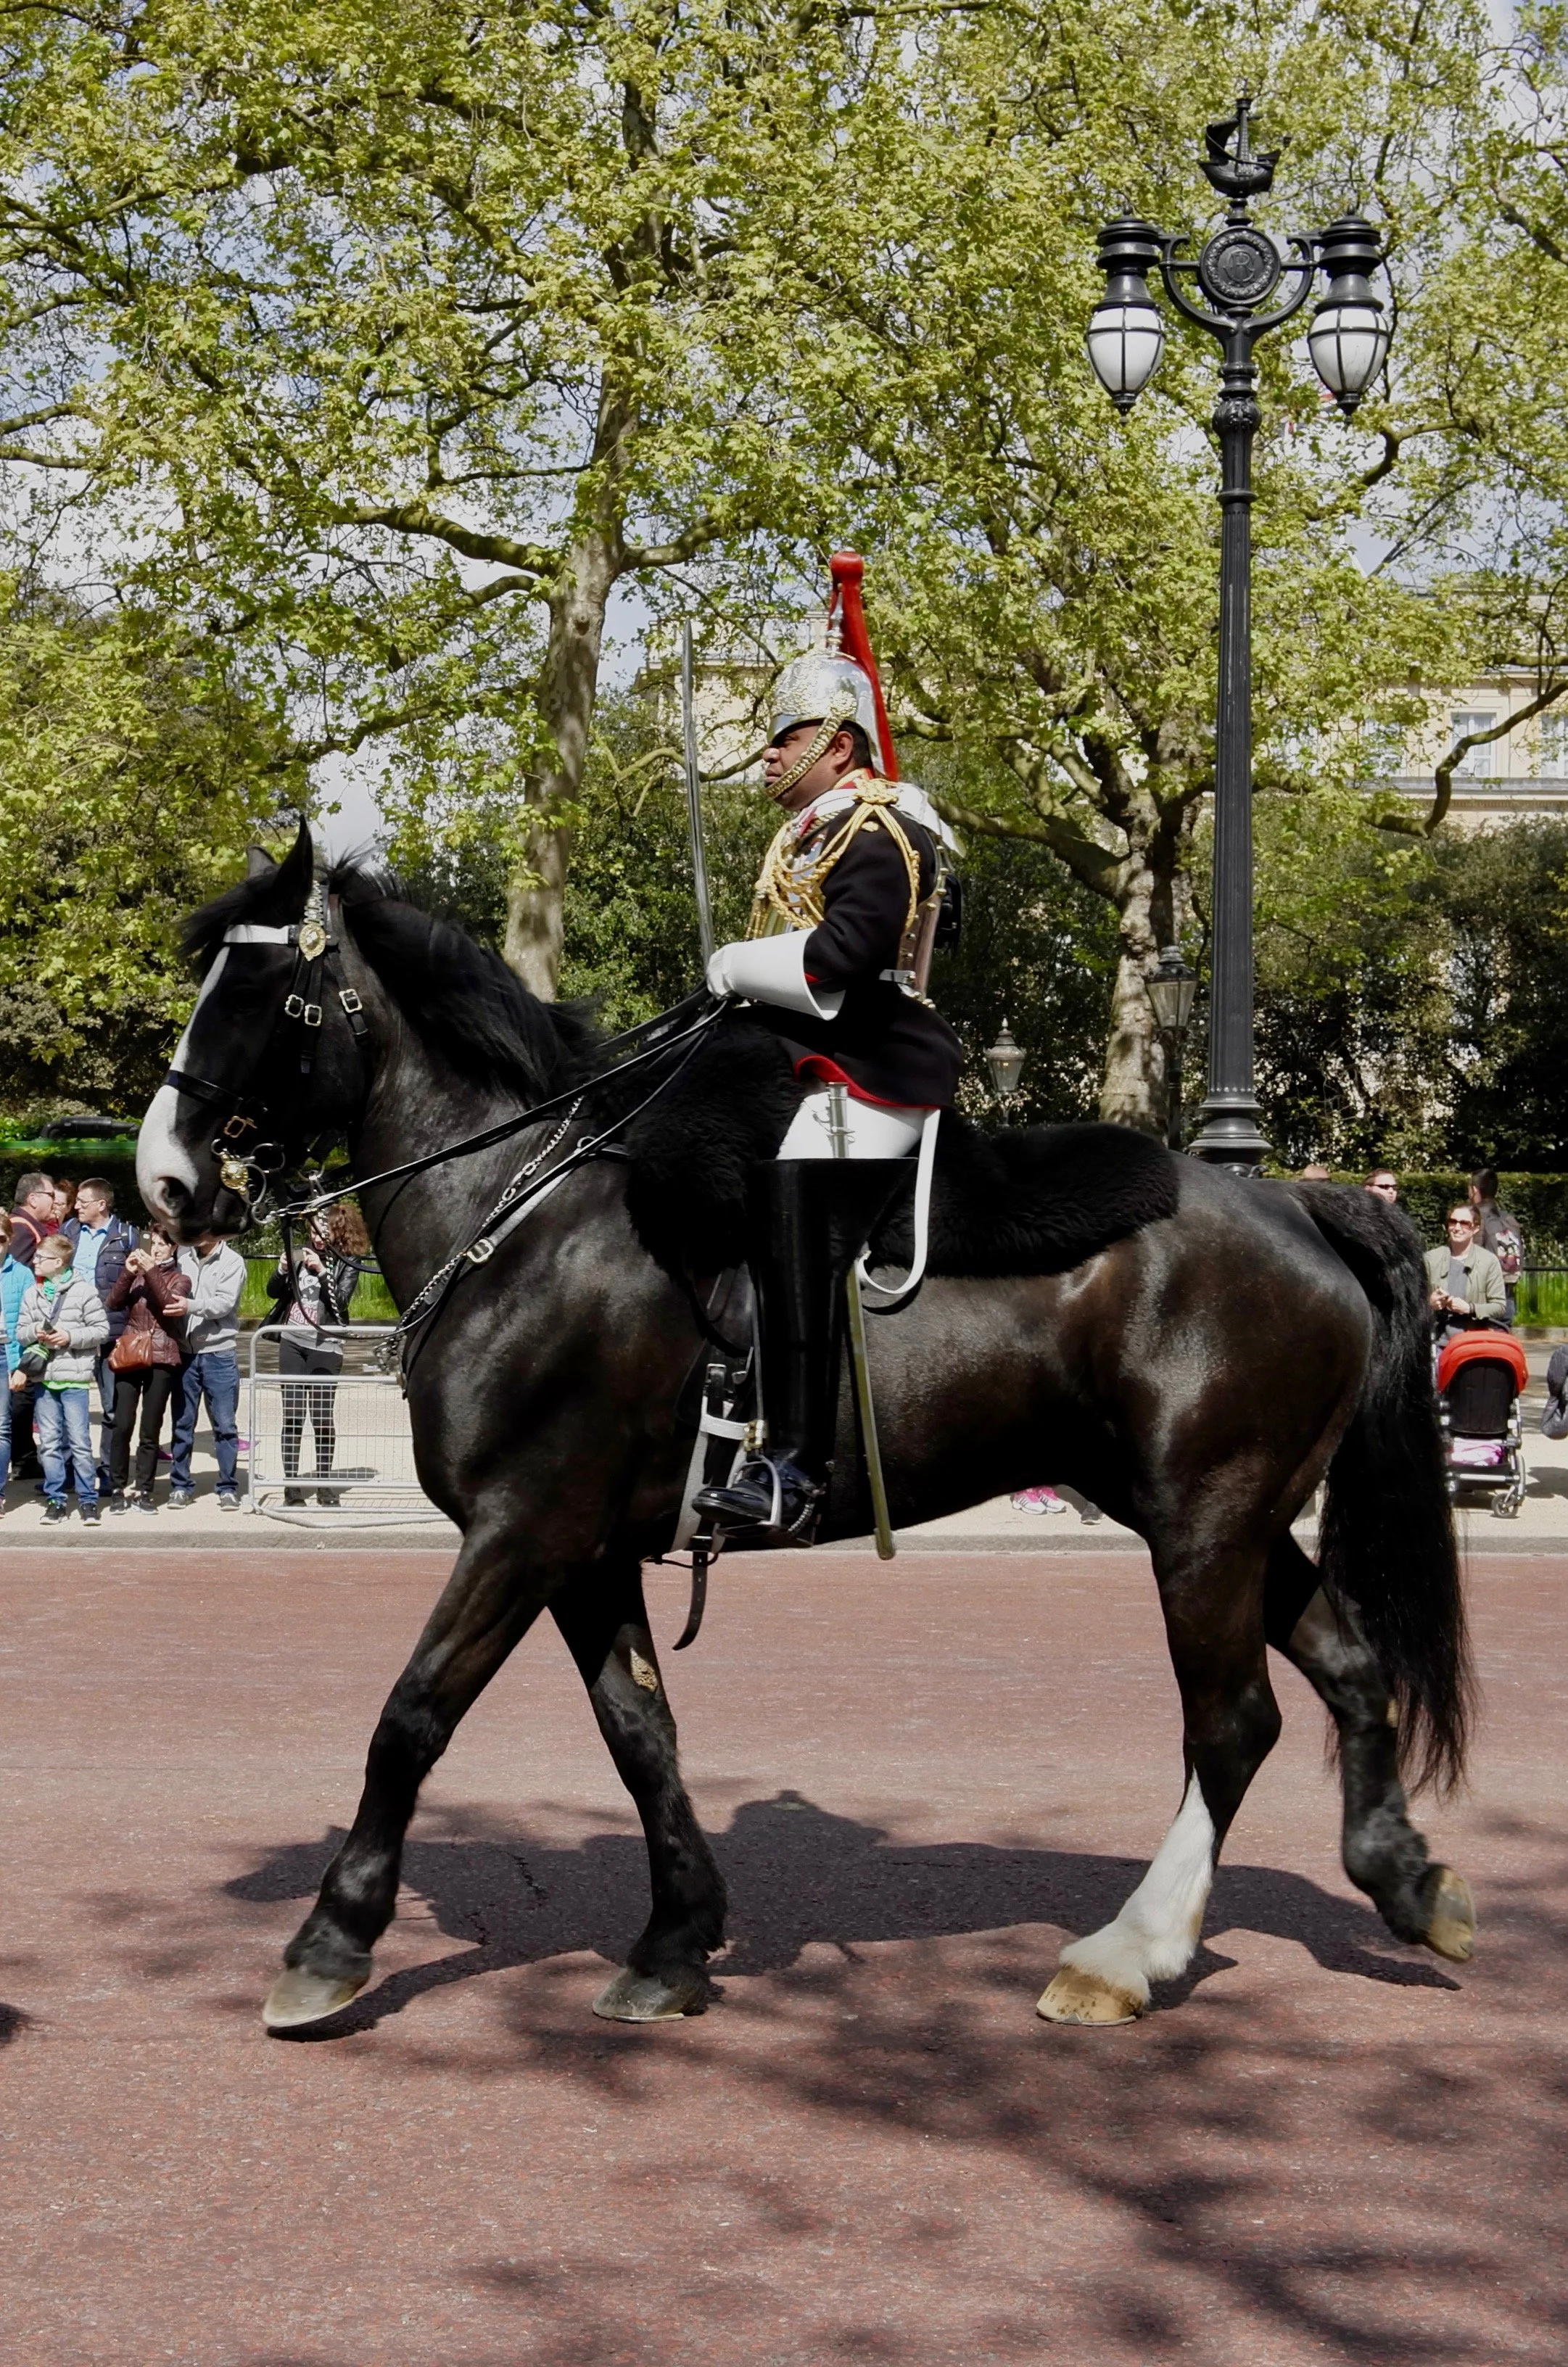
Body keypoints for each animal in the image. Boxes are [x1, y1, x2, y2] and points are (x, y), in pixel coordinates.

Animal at [136, 825, 1475, 2033]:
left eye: (268, 997)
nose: (164, 1182)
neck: (518, 1216)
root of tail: (1294, 1200)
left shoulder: (522, 1529)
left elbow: (411, 1717)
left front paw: (331, 1938)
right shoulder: (585, 1550)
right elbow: (641, 1734)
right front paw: (673, 1941)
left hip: (1202, 1523)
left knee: (1231, 1721)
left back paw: (1128, 1951)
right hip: (1223, 1517)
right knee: (1348, 1671)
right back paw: (1405, 1879)